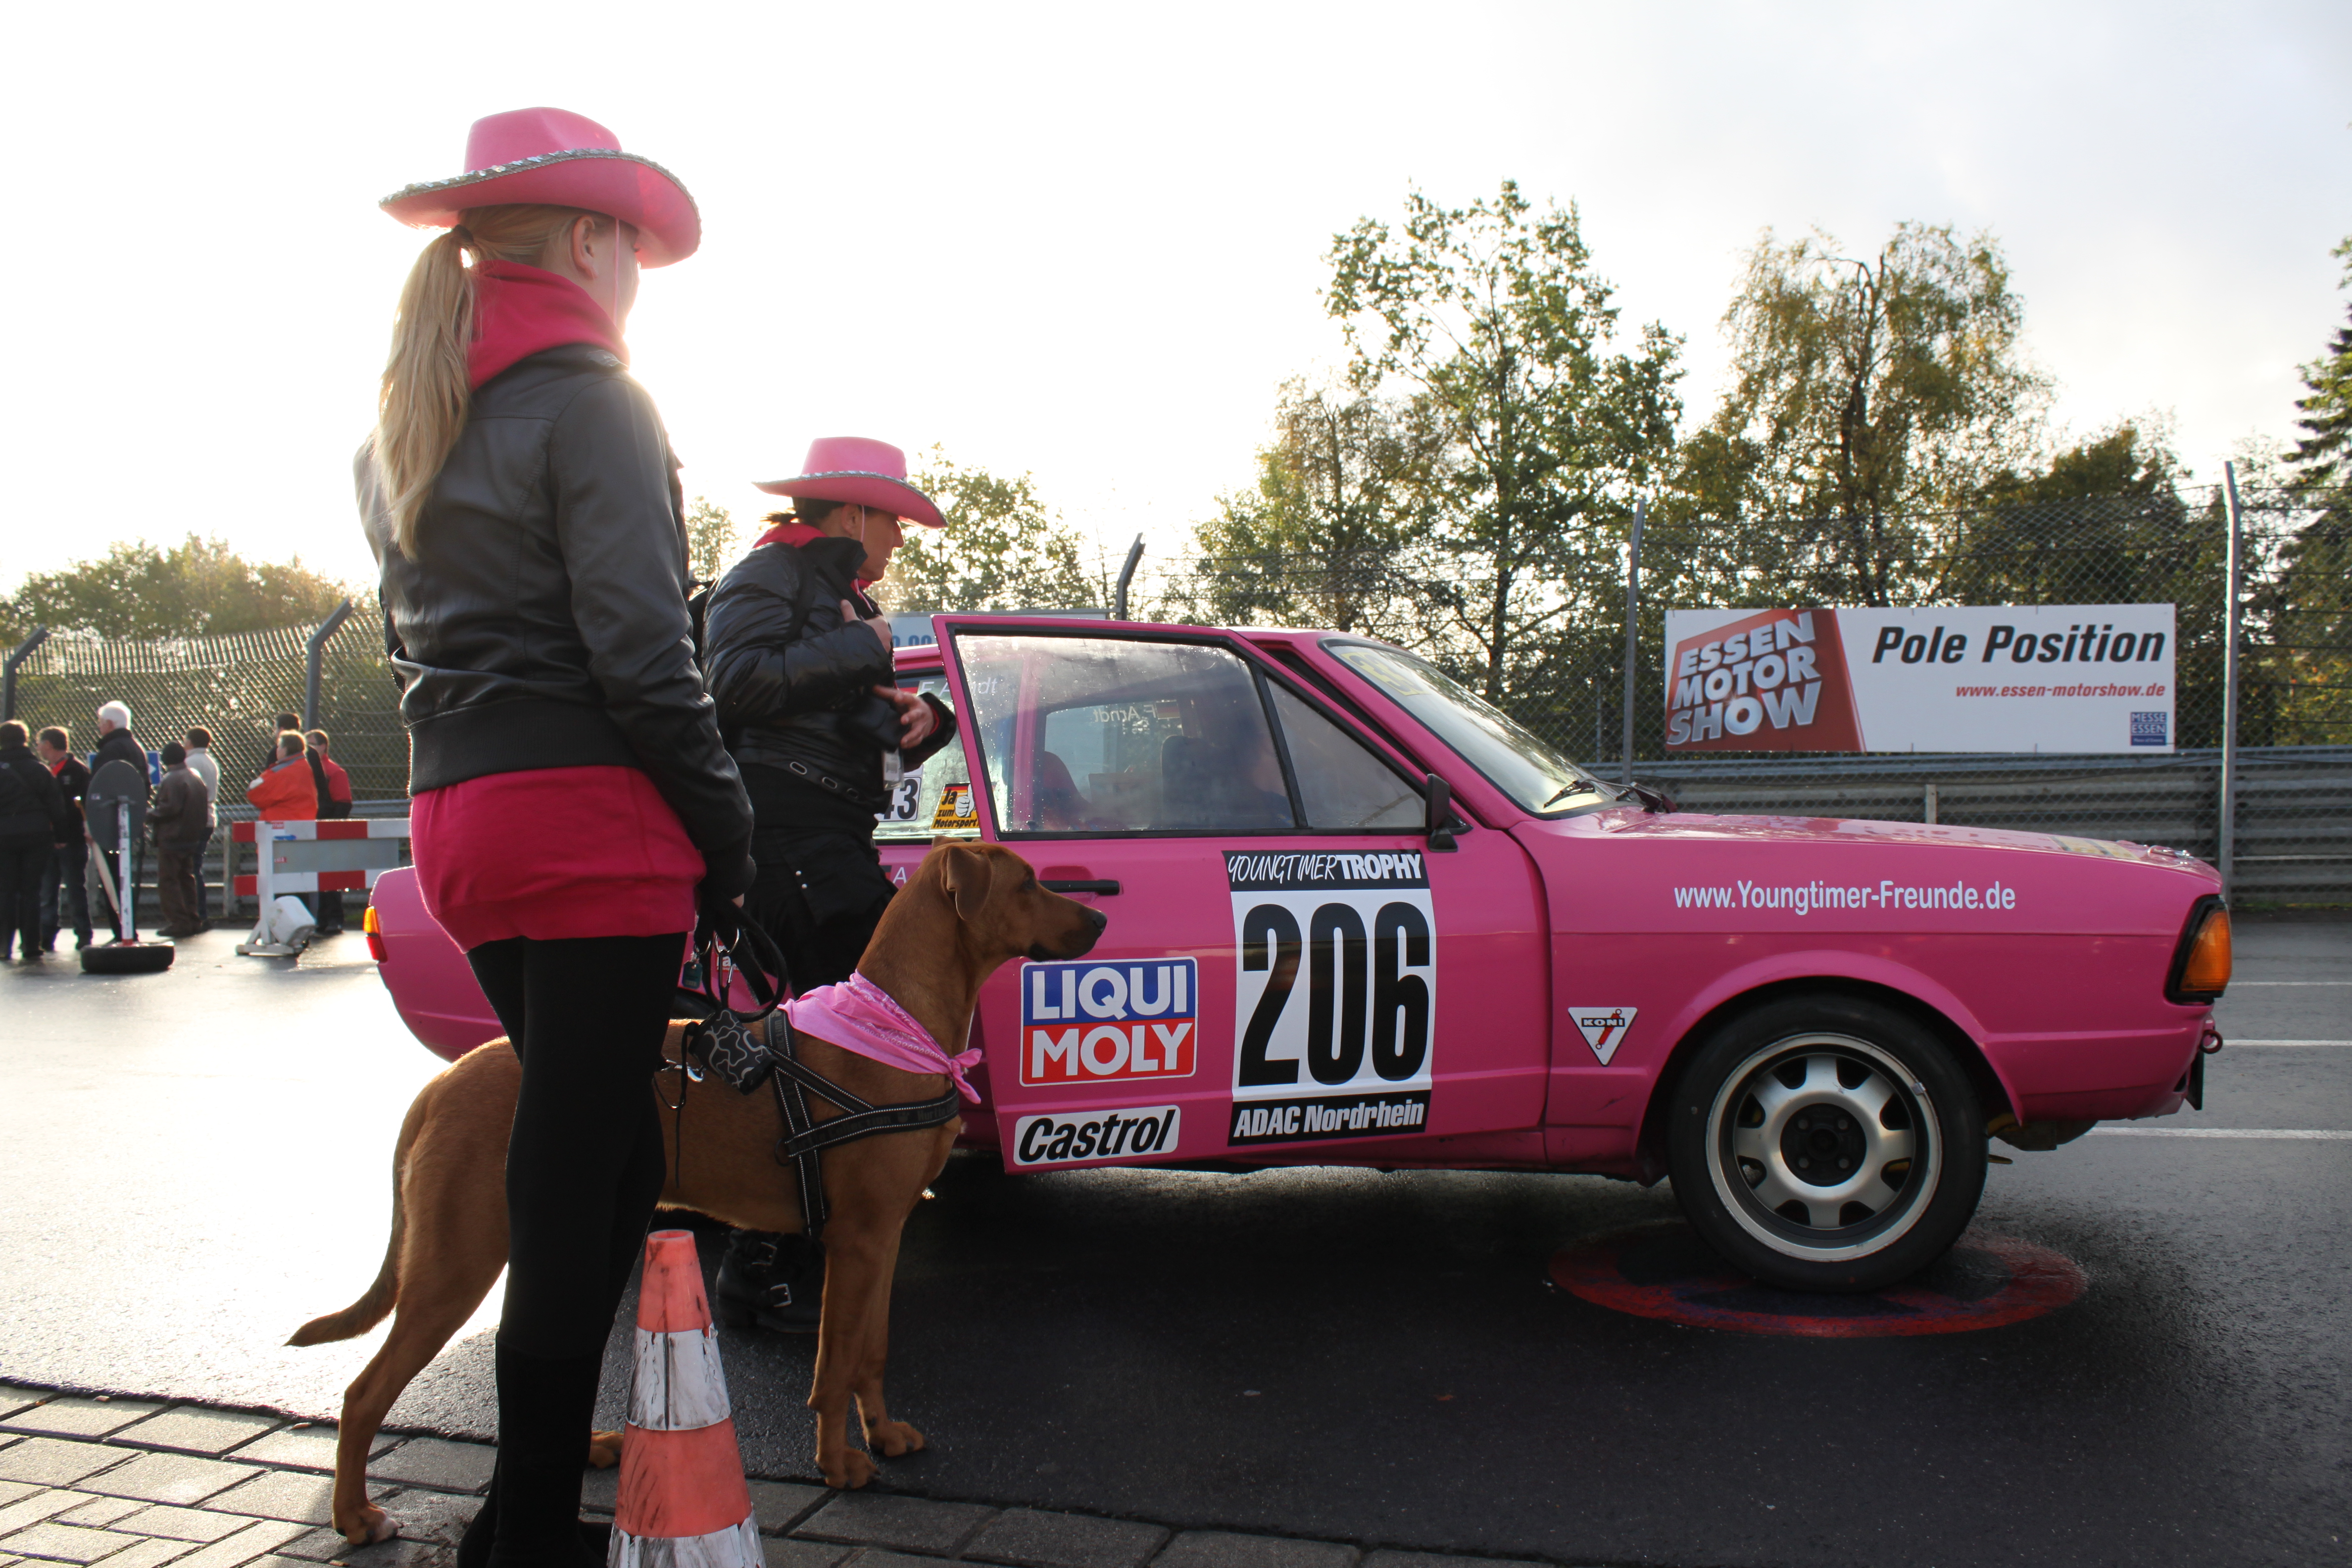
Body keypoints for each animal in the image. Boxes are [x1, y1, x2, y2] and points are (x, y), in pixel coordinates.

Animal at [292, 841, 1100, 1551]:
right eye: (1029, 882)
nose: (1098, 919)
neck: (899, 1022)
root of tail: (442, 1083)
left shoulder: (886, 1236)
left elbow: (871, 1349)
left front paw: (883, 1434)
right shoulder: (859, 1241)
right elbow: (834, 1363)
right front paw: (837, 1464)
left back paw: (588, 1449)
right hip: (458, 1261)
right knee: (364, 1393)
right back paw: (356, 1517)